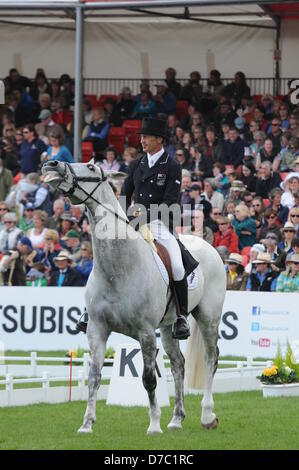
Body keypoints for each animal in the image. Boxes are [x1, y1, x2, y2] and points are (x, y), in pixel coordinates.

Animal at [41, 160, 225, 436]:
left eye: (91, 167)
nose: (52, 164)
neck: (117, 269)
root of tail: (208, 247)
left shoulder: (146, 333)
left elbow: (148, 379)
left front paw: (154, 425)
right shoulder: (97, 330)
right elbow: (94, 376)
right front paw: (86, 424)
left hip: (208, 317)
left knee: (211, 359)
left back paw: (207, 416)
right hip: (169, 326)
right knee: (178, 363)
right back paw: (177, 419)